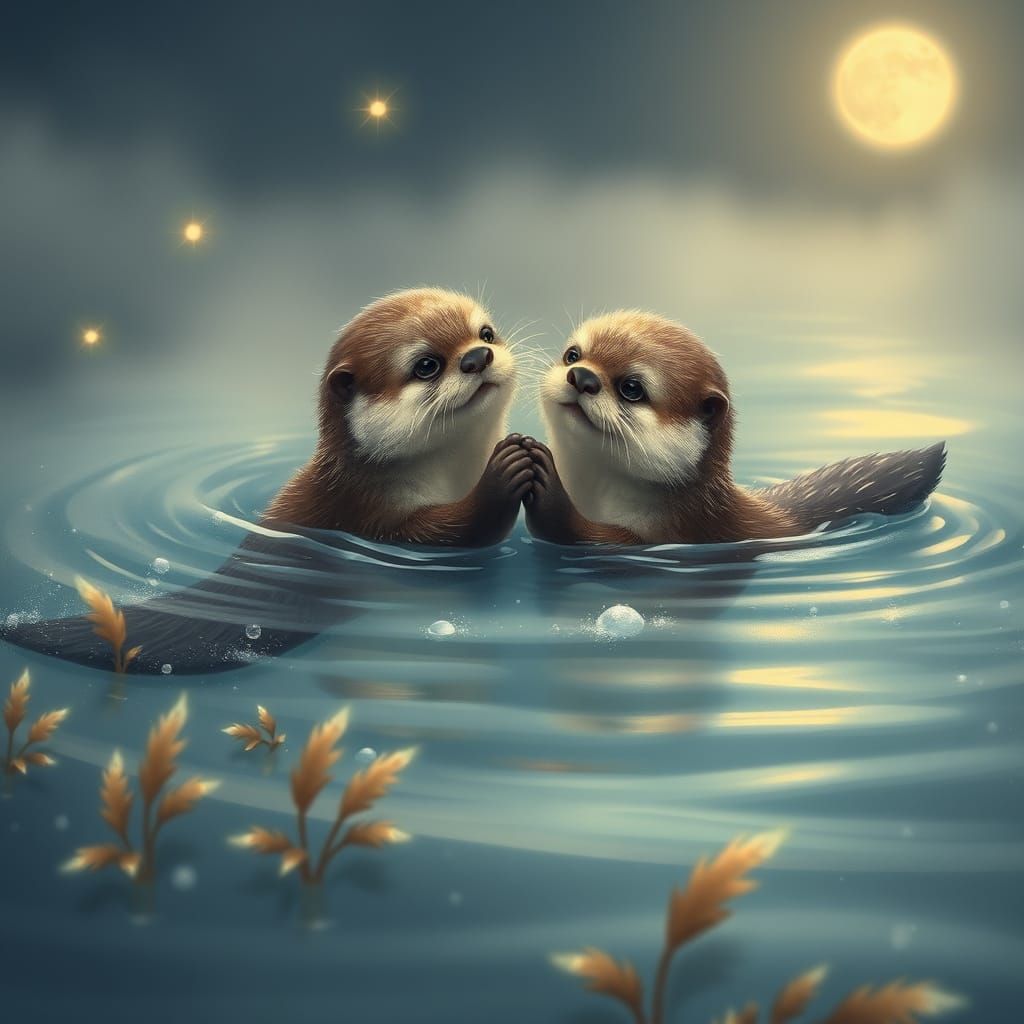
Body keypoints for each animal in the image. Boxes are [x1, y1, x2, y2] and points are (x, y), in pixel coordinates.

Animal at [523, 310, 946, 545]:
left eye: (631, 387)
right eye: (573, 354)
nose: (581, 376)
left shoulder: (679, 533)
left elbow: (584, 535)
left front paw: (546, 484)